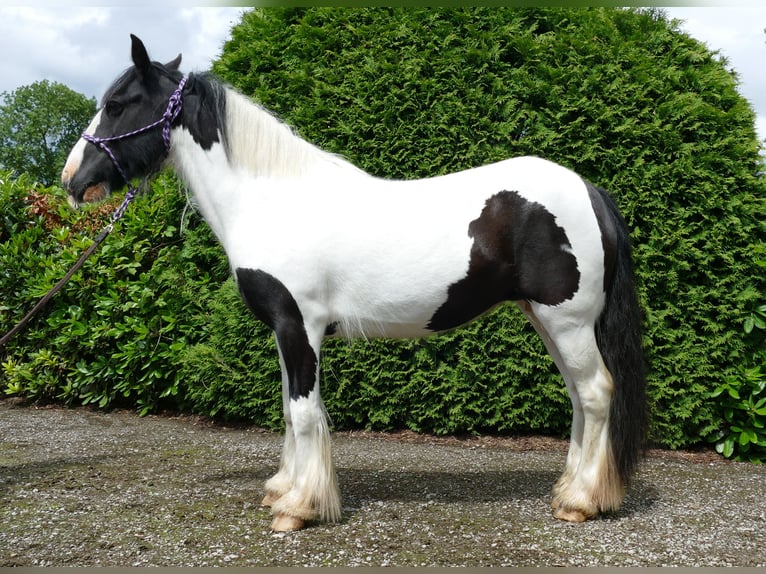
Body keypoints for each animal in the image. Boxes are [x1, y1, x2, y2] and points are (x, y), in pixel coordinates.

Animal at [61, 35, 648, 532]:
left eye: (118, 104)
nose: (72, 180)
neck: (270, 200)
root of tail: (590, 190)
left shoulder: (299, 326)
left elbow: (303, 413)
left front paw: (299, 508)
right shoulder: (285, 331)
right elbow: (289, 408)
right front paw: (283, 489)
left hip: (566, 321)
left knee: (596, 394)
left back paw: (581, 502)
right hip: (549, 321)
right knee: (579, 400)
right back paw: (568, 490)